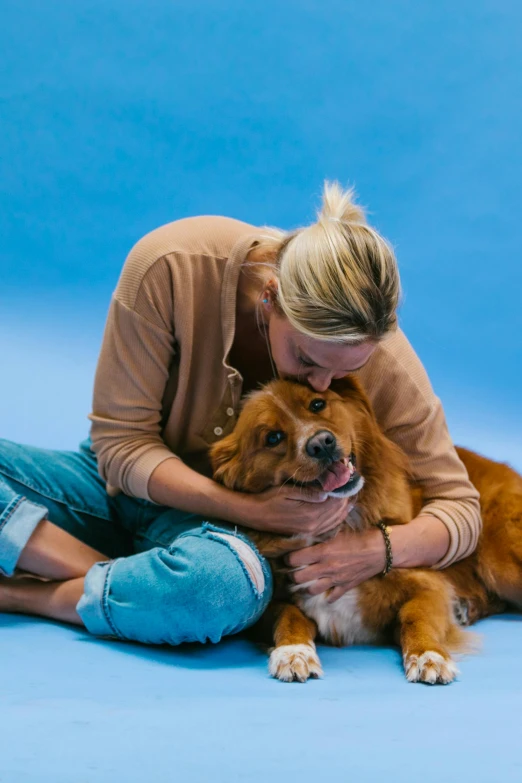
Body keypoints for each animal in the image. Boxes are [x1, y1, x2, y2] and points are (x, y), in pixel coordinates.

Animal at [208, 376, 520, 684]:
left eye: (317, 404)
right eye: (272, 437)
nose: (322, 443)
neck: (337, 526)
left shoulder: (428, 585)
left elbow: (414, 616)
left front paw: (427, 654)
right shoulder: (268, 604)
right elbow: (288, 614)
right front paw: (293, 651)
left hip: (500, 566)